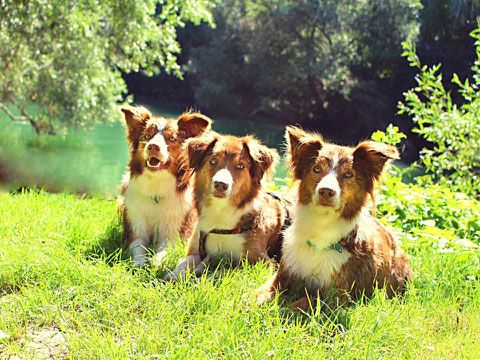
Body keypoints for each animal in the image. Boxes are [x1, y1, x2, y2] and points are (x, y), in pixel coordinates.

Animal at [119, 105, 211, 266]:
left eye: (171, 138)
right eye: (147, 136)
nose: (153, 146)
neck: (156, 186)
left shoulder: (174, 233)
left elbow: (162, 253)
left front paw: (155, 264)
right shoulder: (135, 227)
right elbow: (138, 248)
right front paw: (139, 263)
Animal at [165, 132, 292, 282]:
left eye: (240, 166)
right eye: (213, 161)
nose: (220, 184)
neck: (221, 213)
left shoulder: (262, 264)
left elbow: (222, 272)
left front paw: (197, 279)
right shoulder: (194, 249)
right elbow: (183, 265)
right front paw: (173, 276)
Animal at [253, 126, 410, 310]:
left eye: (348, 174)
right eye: (317, 169)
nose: (326, 191)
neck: (321, 227)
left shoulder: (334, 297)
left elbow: (299, 304)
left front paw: (280, 311)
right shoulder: (282, 276)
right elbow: (257, 294)